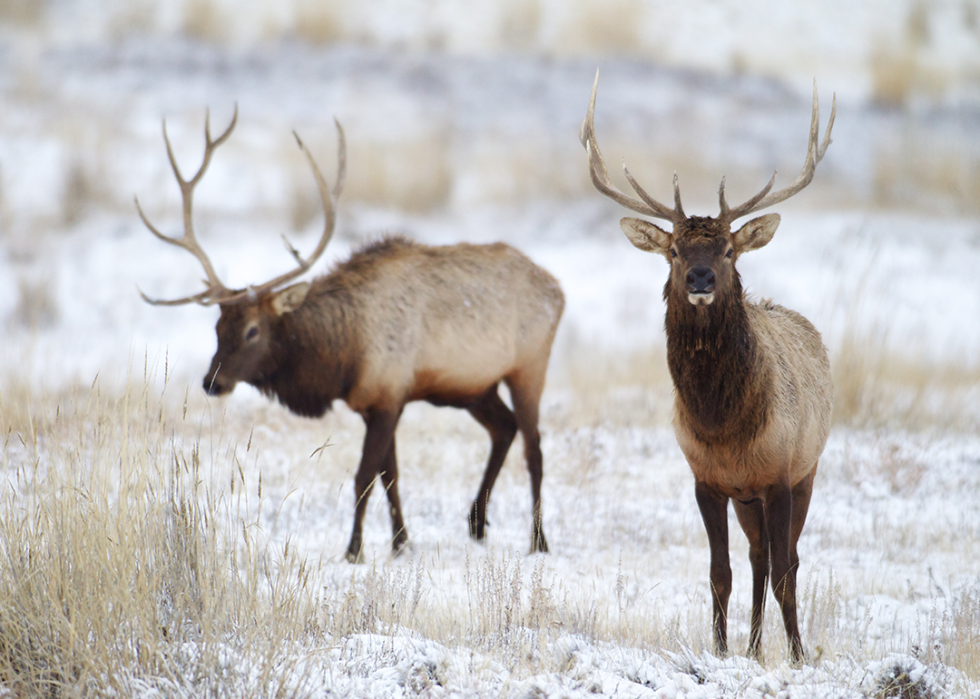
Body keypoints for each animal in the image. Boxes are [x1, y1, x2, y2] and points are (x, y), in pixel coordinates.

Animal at [139, 110, 568, 568]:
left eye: (253, 330)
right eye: (218, 328)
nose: (212, 382)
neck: (343, 356)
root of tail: (557, 289)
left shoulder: (388, 395)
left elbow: (364, 475)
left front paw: (354, 550)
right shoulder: (376, 401)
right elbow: (389, 475)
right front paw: (400, 543)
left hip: (529, 366)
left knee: (534, 447)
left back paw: (538, 540)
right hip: (473, 387)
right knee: (504, 429)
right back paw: (476, 523)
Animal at [580, 74, 836, 664]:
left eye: (728, 250)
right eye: (673, 250)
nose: (700, 278)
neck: (724, 426)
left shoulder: (781, 475)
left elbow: (786, 572)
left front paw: (797, 656)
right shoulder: (706, 479)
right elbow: (720, 573)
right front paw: (720, 652)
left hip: (808, 471)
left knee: (786, 560)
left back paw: (776, 645)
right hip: (747, 498)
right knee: (758, 558)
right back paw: (753, 646)